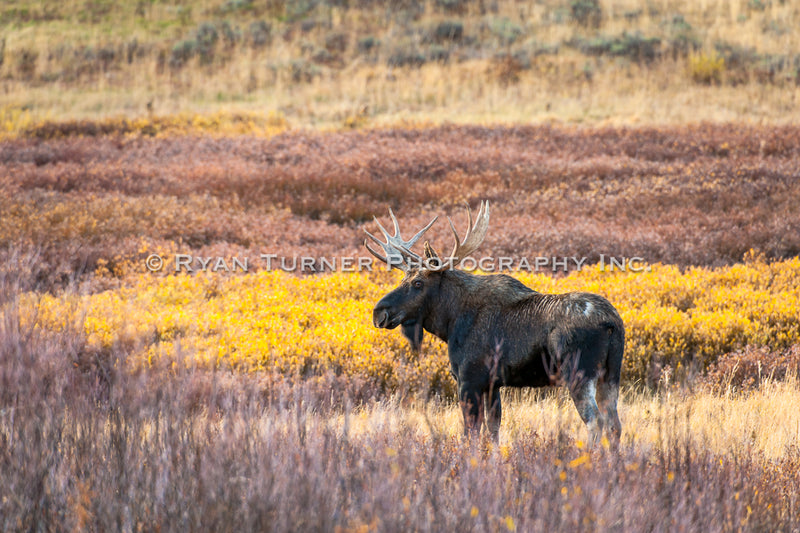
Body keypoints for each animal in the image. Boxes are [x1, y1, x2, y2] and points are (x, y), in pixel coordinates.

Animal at [364, 202, 624, 442]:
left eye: (418, 283)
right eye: (403, 278)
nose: (379, 312)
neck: (450, 322)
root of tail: (611, 324)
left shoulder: (469, 380)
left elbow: (470, 434)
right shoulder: (493, 384)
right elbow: (493, 431)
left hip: (579, 373)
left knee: (595, 421)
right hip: (611, 374)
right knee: (614, 424)